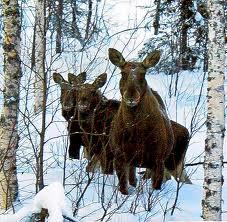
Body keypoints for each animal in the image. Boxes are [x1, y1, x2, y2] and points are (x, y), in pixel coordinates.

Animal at [108, 48, 184, 194]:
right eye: (122, 72)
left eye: (143, 73)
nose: (131, 96)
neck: (136, 131)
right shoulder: (120, 158)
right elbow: (124, 188)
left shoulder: (158, 160)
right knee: (133, 179)